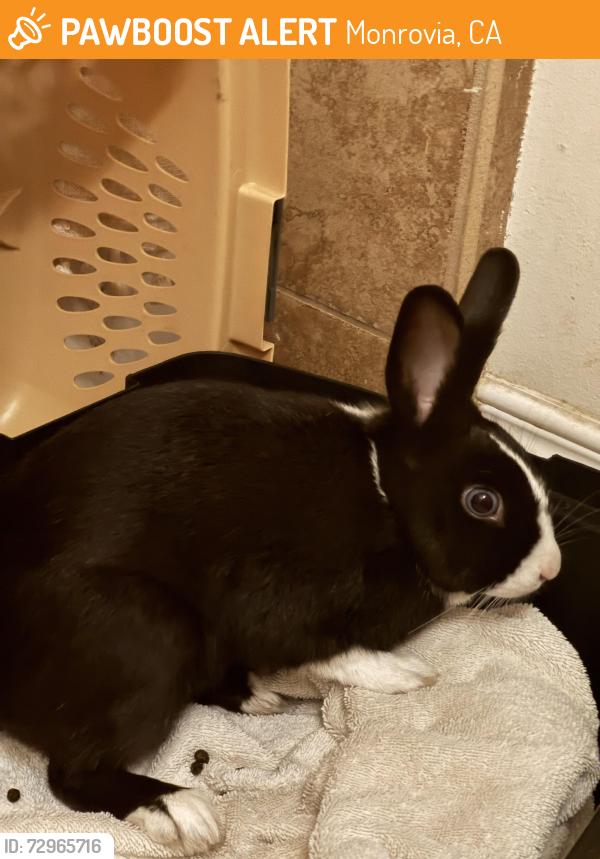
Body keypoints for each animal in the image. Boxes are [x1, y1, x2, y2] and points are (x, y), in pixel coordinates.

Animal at [0, 248, 560, 853]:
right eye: (482, 501)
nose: (551, 569)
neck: (387, 499)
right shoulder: (280, 601)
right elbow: (331, 650)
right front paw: (408, 674)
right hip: (149, 631)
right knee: (73, 774)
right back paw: (182, 811)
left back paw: (256, 696)